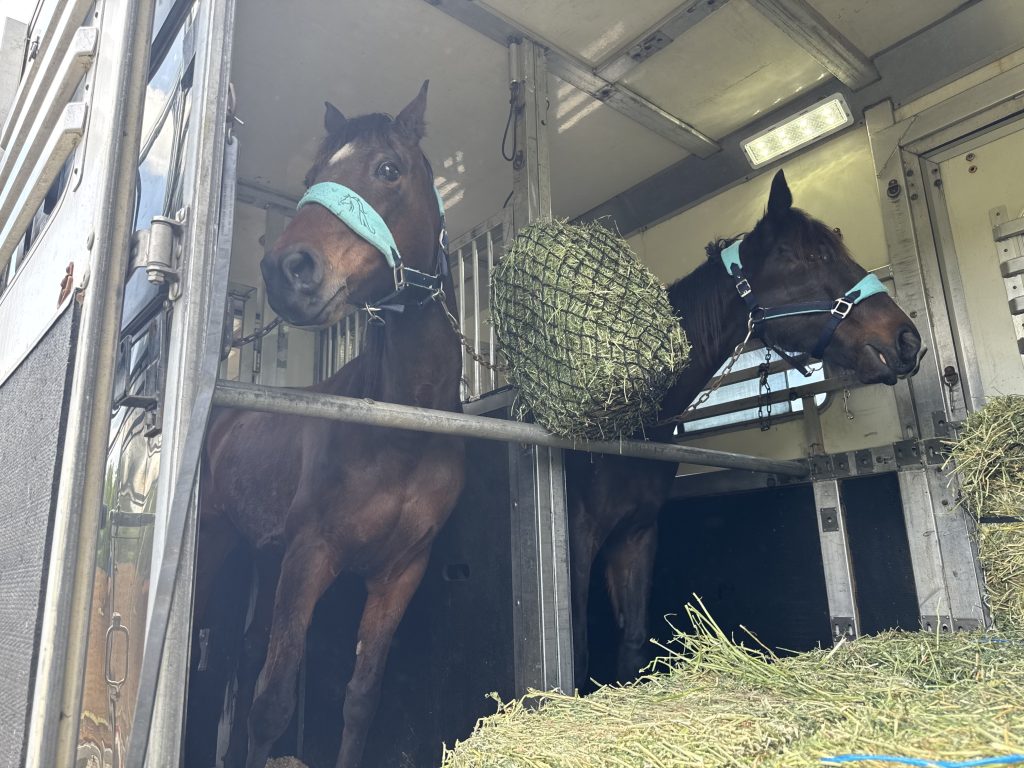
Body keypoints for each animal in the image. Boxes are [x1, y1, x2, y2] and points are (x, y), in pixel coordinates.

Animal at [190, 82, 465, 768]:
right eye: (313, 177)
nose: (286, 270)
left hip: (264, 553)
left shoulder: (401, 573)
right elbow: (273, 703)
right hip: (215, 540)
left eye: (388, 170)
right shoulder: (311, 556)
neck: (399, 429)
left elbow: (361, 698)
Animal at [565, 169, 924, 688]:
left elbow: (632, 644)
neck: (624, 426)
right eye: (810, 256)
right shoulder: (575, 538)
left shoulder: (636, 536)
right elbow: (575, 648)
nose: (907, 340)